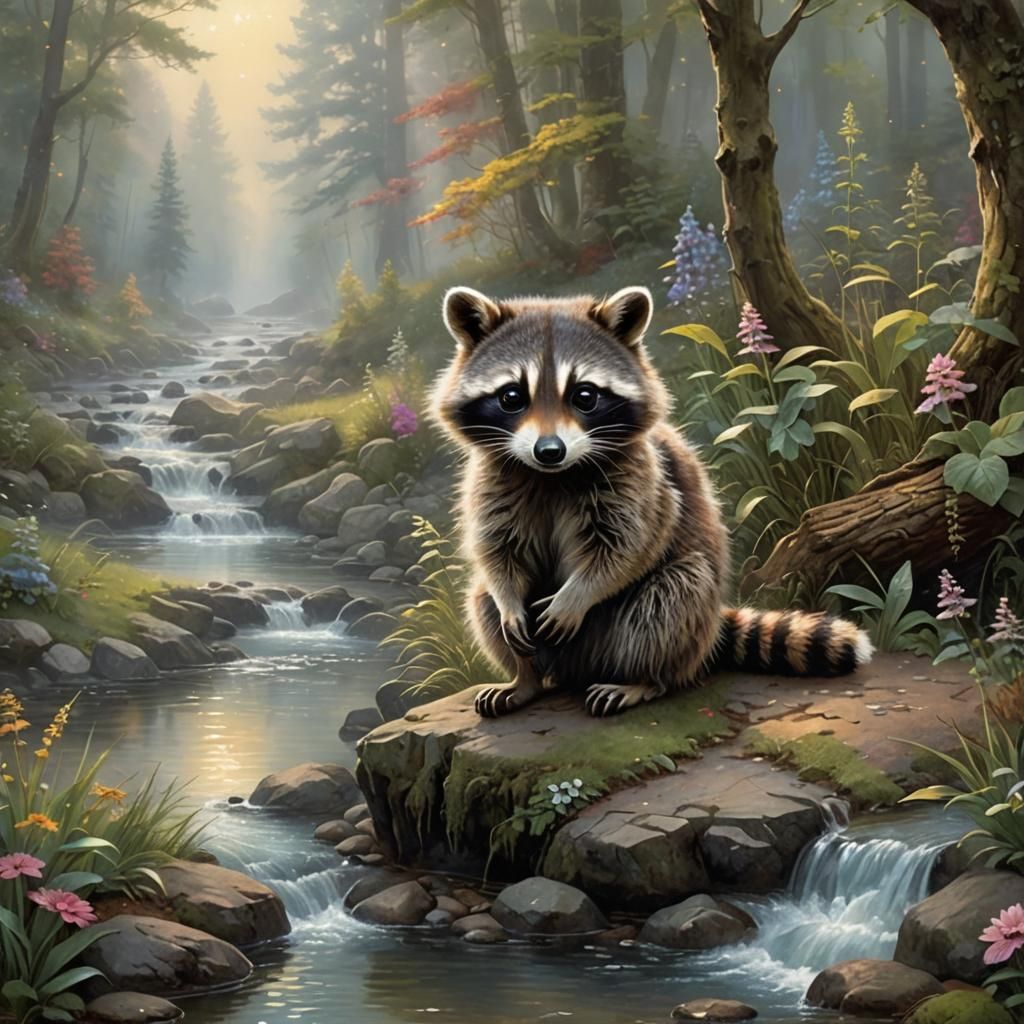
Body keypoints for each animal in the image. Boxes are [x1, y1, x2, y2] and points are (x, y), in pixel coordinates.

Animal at [431, 285, 873, 718]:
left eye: (585, 396)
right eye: (511, 397)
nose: (549, 450)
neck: (552, 476)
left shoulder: (644, 480)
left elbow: (627, 548)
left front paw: (577, 595)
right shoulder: (490, 481)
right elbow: (497, 554)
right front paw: (509, 605)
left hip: (675, 619)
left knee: (672, 598)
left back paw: (643, 679)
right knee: (481, 598)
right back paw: (526, 680)